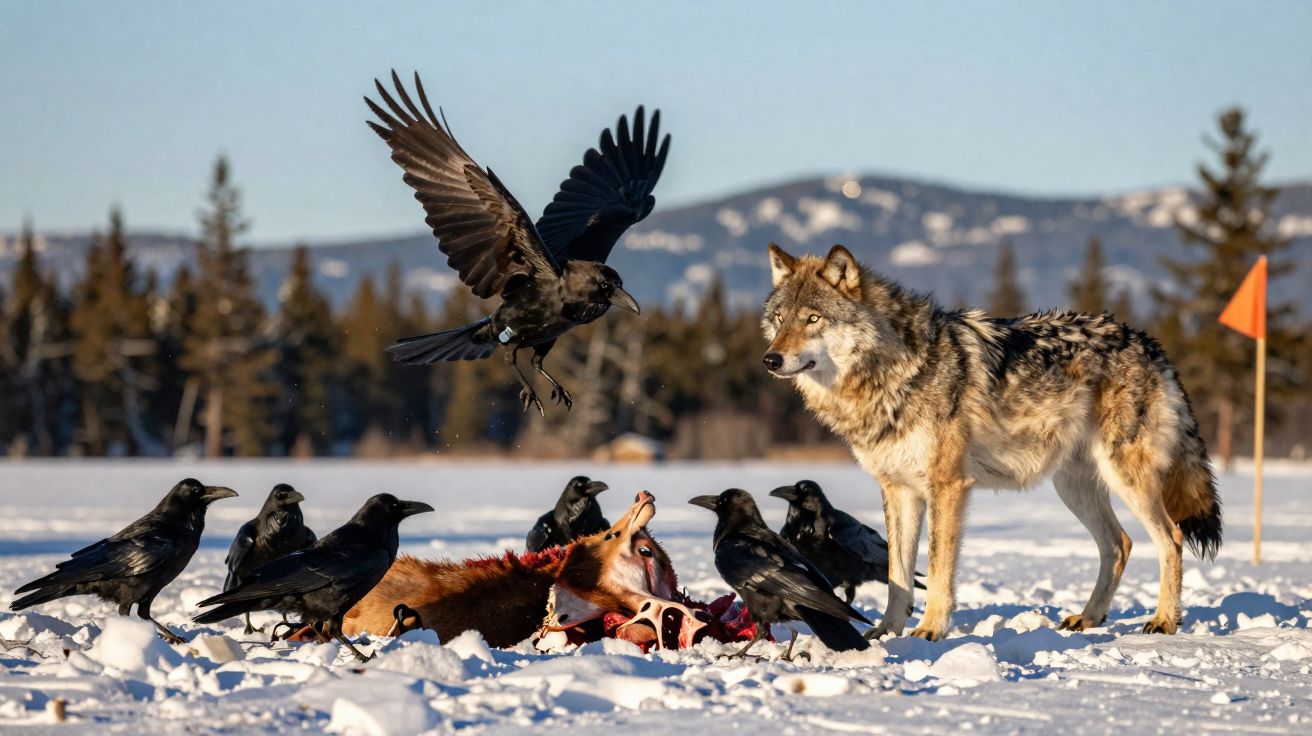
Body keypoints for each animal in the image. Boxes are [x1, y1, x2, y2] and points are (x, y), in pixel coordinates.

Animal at [761, 243, 1221, 640]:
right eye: (780, 319)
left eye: (813, 319)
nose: (770, 359)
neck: (894, 372)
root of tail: (1148, 343)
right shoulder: (899, 490)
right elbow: (897, 575)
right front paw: (888, 633)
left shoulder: (947, 487)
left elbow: (938, 570)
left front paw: (930, 630)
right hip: (1073, 488)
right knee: (1119, 544)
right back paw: (1088, 618)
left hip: (1126, 480)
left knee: (1171, 539)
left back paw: (1164, 621)